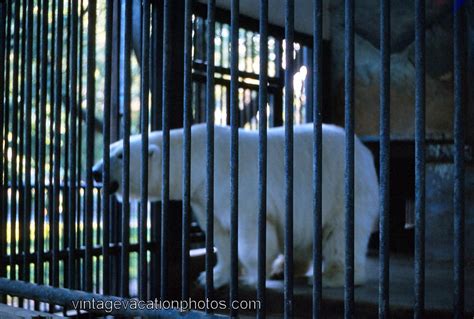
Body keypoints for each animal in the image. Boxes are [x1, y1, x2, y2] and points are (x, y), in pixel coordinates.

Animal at [92, 124, 380, 290]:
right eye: (109, 148)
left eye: (120, 155)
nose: (95, 172)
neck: (198, 156)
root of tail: (364, 150)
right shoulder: (203, 195)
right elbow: (221, 234)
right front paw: (212, 276)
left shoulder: (235, 182)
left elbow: (250, 233)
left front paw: (254, 272)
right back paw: (285, 269)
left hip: (343, 187)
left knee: (341, 232)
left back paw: (333, 276)